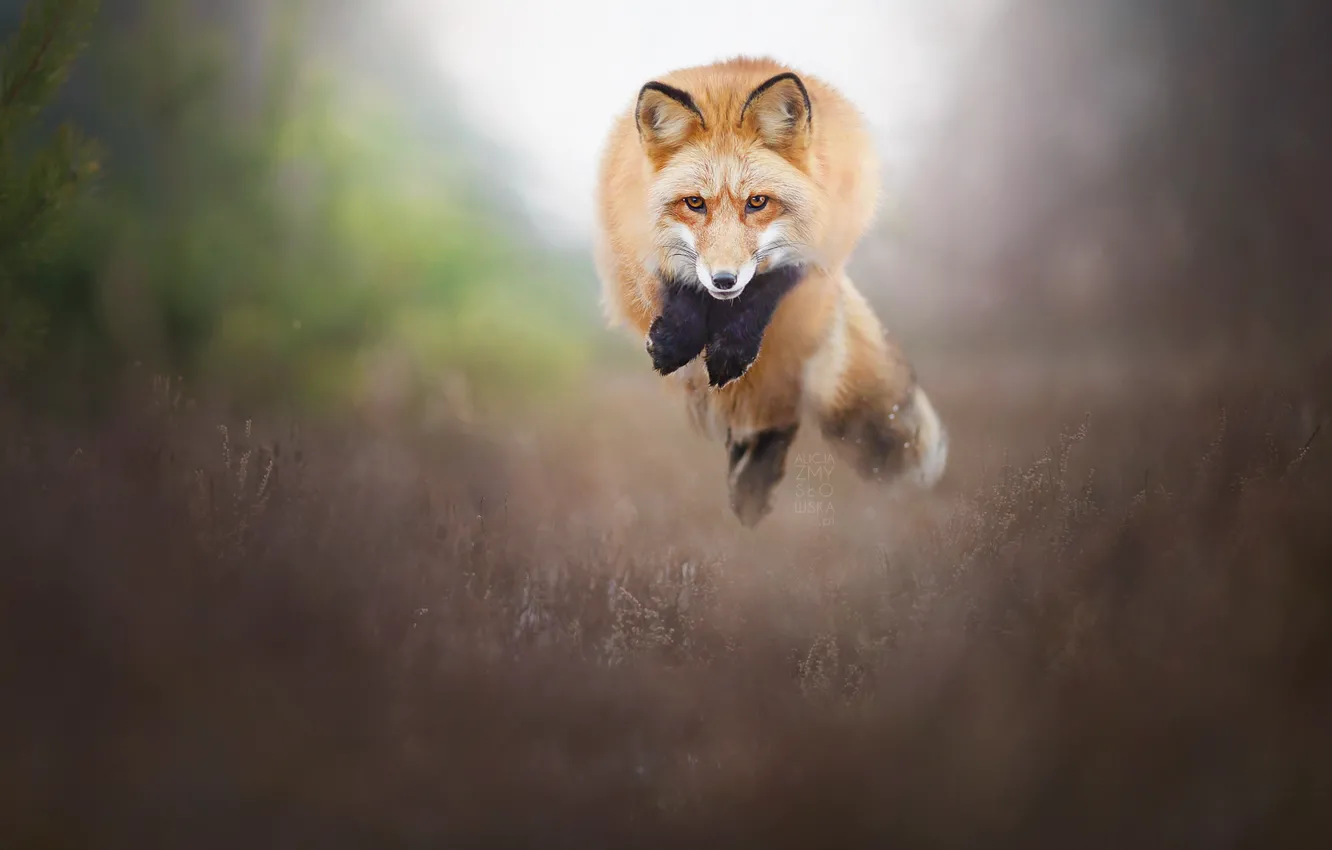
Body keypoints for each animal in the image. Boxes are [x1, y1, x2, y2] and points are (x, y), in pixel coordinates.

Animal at [593, 56, 948, 527]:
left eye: (757, 202)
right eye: (694, 203)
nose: (724, 280)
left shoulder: (824, 239)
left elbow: (767, 287)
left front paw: (731, 349)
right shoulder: (630, 229)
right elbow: (679, 286)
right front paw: (675, 339)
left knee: (779, 404)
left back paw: (751, 492)